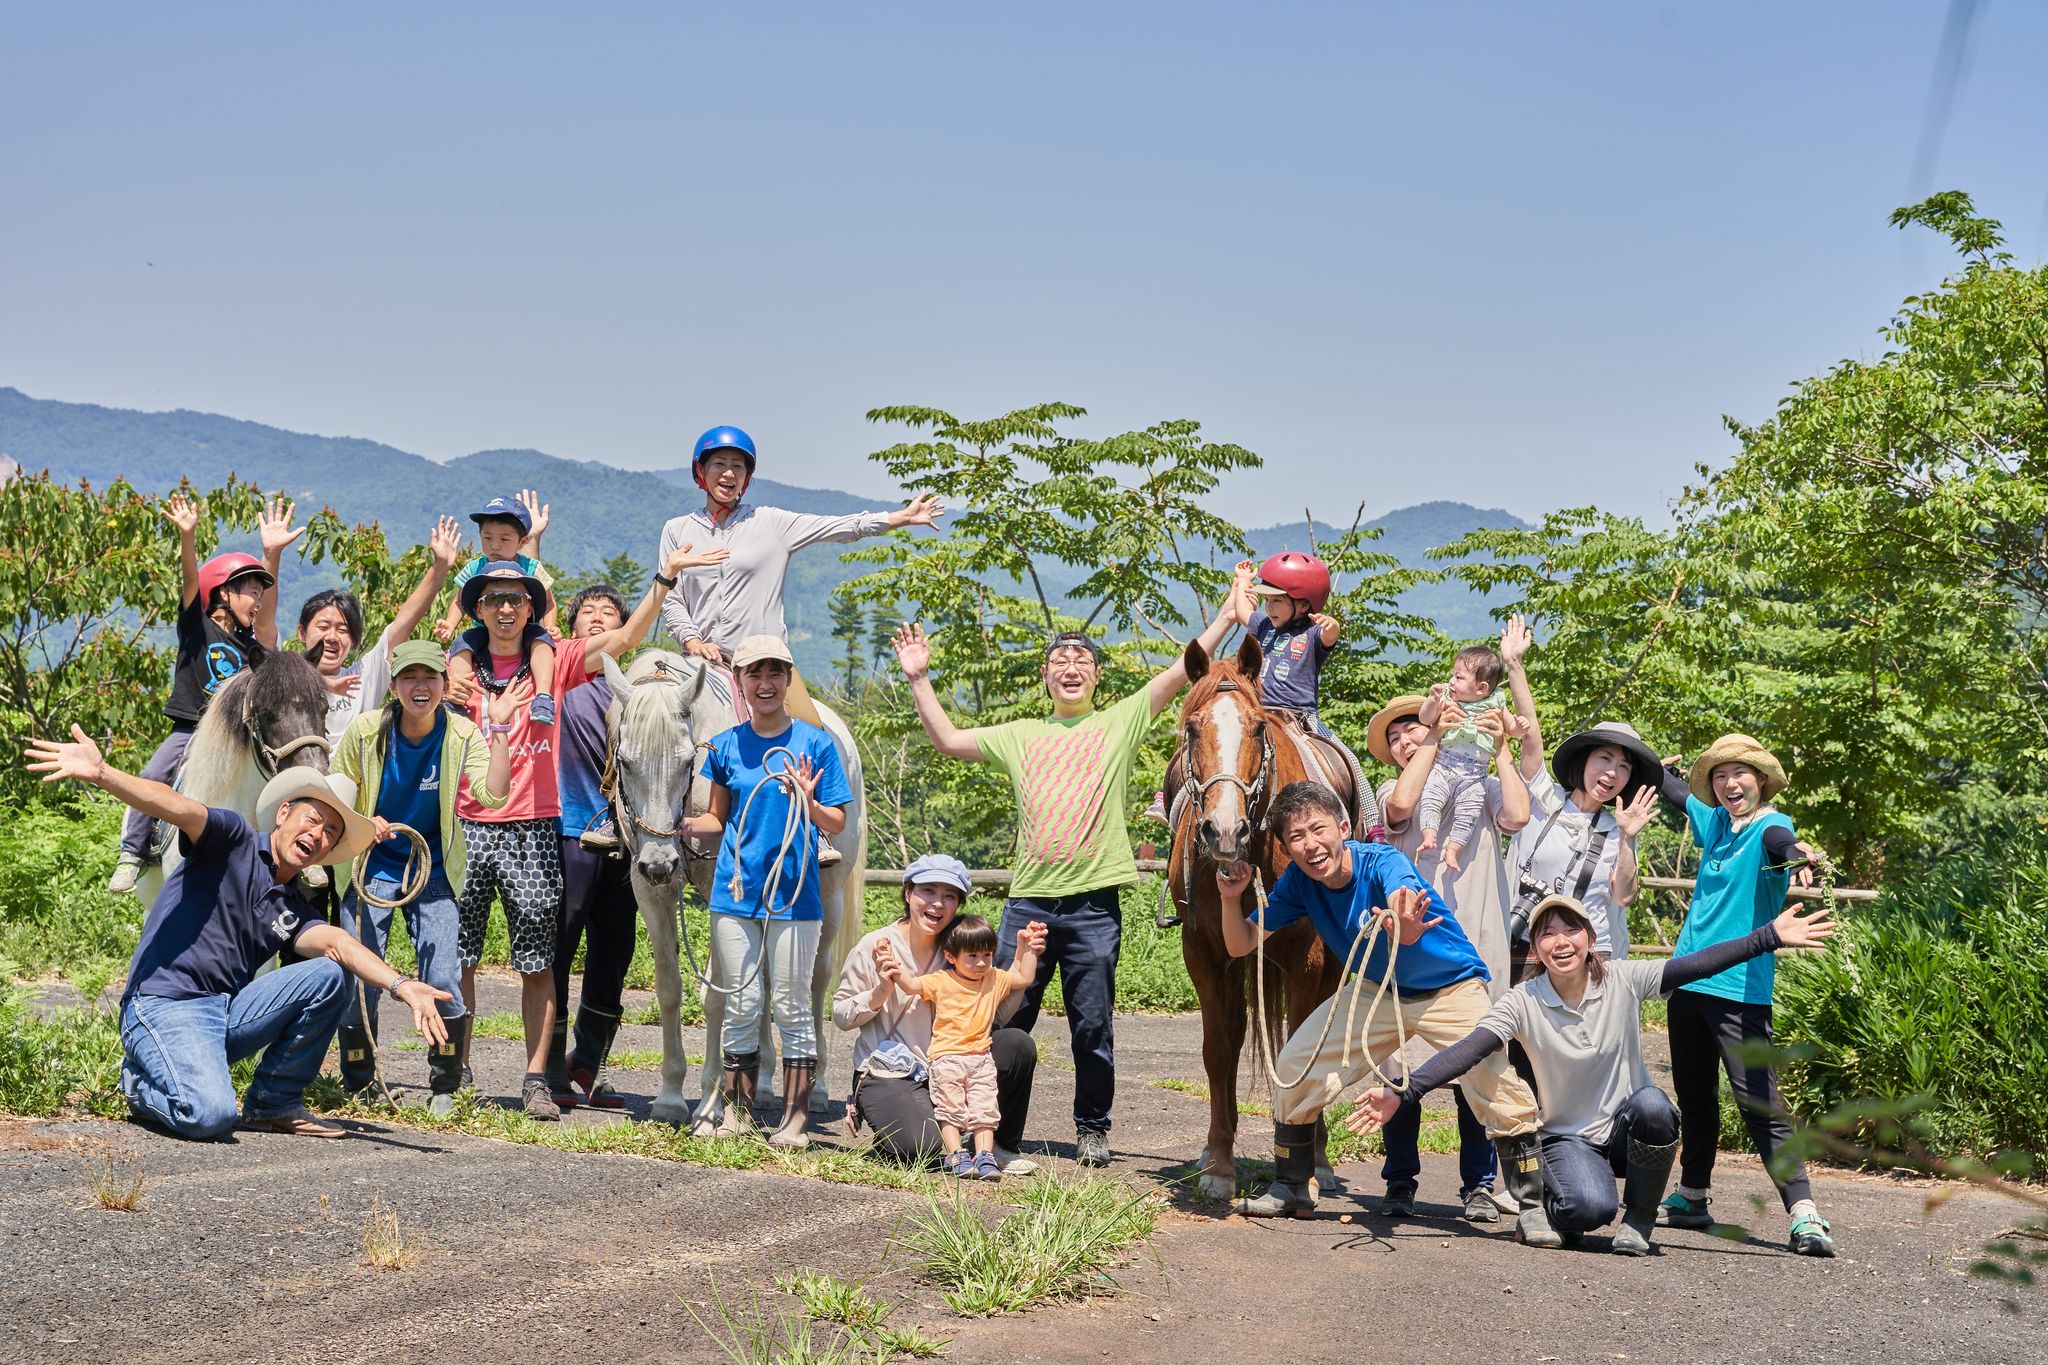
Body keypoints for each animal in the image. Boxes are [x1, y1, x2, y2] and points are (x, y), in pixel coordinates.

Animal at [598, 654, 872, 1129]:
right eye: (627, 763)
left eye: (687, 761)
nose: (660, 863)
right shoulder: (648, 889)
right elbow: (669, 987)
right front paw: (670, 1097)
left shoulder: (716, 890)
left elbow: (715, 997)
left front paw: (710, 1105)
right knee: (766, 977)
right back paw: (761, 1086)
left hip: (831, 896)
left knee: (818, 980)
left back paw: (817, 1087)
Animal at [1171, 638, 1343, 1195]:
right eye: (1192, 727)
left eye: (1257, 727)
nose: (1224, 830)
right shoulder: (1203, 953)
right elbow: (1219, 1050)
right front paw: (1221, 1167)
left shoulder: (1309, 960)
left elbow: (1302, 1054)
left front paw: (1304, 1171)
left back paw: (1321, 1161)